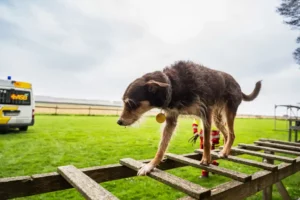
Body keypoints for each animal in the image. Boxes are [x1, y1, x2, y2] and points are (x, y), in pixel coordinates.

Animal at [116, 60, 262, 176]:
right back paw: (225, 150)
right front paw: (150, 166)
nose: (119, 121)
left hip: (228, 112)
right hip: (217, 118)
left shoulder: (205, 112)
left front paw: (206, 159)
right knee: (226, 134)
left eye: (131, 103)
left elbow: (207, 140)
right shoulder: (171, 119)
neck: (173, 84)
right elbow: (162, 147)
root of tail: (238, 85)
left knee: (231, 134)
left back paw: (224, 151)